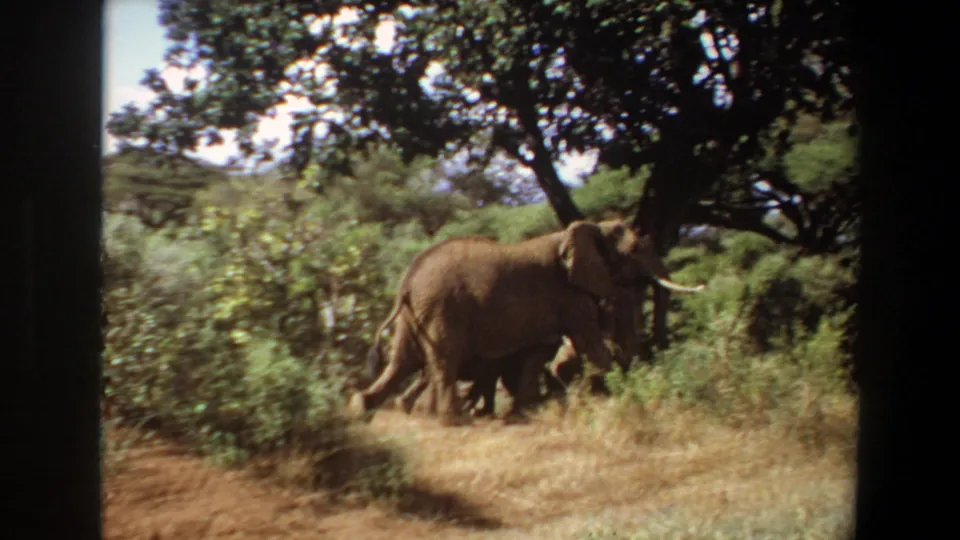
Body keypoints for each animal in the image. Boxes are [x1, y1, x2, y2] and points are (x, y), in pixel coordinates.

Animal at [349, 219, 705, 426]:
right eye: (635, 251)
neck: (580, 232)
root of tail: (408, 281)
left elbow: (538, 352)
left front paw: (529, 410)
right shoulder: (569, 294)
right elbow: (589, 343)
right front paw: (612, 394)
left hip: (416, 315)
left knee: (402, 362)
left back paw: (362, 411)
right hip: (442, 309)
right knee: (443, 361)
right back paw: (453, 420)